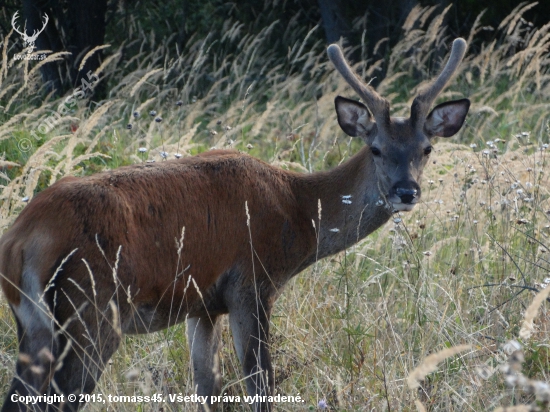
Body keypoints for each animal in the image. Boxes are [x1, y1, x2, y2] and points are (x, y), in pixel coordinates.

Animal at [1, 37, 470, 408]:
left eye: (426, 148)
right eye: (375, 148)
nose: (407, 191)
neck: (298, 212)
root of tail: (21, 240)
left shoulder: (201, 304)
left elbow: (207, 389)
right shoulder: (252, 282)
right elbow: (259, 385)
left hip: (35, 325)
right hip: (93, 310)